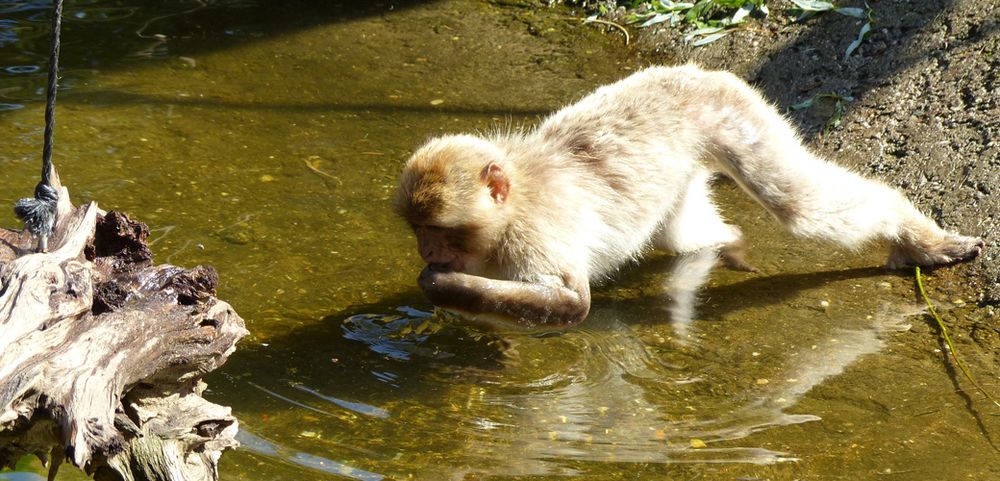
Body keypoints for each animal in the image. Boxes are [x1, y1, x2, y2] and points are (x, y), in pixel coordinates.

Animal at [392, 64, 984, 330]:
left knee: (797, 203)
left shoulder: (535, 237)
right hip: (692, 160)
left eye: (439, 232)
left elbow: (573, 302)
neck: (510, 211)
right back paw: (726, 242)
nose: (426, 251)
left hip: (736, 117)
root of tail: (695, 72)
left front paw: (439, 286)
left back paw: (919, 237)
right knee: (684, 237)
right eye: (419, 231)